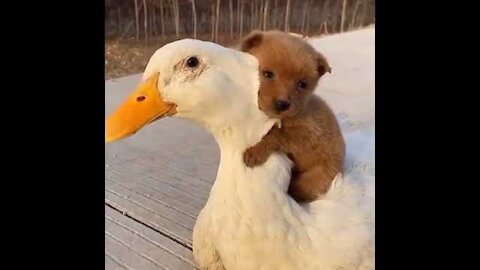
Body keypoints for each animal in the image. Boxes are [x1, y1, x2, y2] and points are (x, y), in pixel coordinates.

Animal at [237, 30, 344, 202]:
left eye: (302, 84)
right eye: (267, 74)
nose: (282, 104)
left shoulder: (309, 134)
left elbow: (277, 133)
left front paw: (255, 152)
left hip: (317, 178)